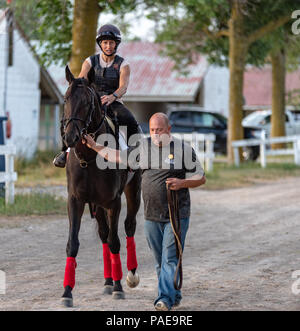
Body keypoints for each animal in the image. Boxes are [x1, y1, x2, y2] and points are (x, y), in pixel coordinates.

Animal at [61, 65, 142, 308]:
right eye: (66, 98)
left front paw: (119, 287)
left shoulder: (113, 202)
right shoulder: (76, 201)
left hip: (133, 191)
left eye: (88, 102)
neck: (90, 156)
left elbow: (115, 242)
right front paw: (67, 292)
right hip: (96, 205)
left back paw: (130, 275)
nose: (70, 136)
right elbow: (73, 243)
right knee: (104, 234)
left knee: (128, 227)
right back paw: (107, 281)